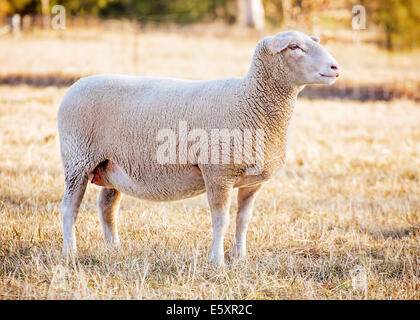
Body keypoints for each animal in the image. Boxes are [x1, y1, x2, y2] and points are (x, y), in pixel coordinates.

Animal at [58, 30, 338, 264]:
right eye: (294, 47)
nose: (335, 67)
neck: (248, 99)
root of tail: (77, 84)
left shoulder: (252, 182)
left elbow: (243, 220)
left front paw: (240, 258)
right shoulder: (218, 172)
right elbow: (221, 219)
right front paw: (217, 261)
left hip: (112, 165)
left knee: (107, 207)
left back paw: (114, 248)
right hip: (77, 159)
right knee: (70, 207)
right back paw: (70, 251)